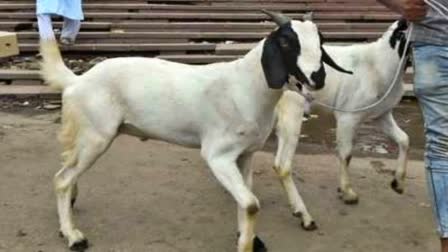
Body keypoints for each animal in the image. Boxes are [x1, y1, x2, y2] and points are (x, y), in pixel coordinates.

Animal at [272, 20, 410, 227]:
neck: (380, 63)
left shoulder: (382, 114)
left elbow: (404, 139)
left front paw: (398, 183)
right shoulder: (348, 116)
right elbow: (346, 154)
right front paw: (348, 193)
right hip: (291, 111)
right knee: (283, 165)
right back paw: (304, 216)